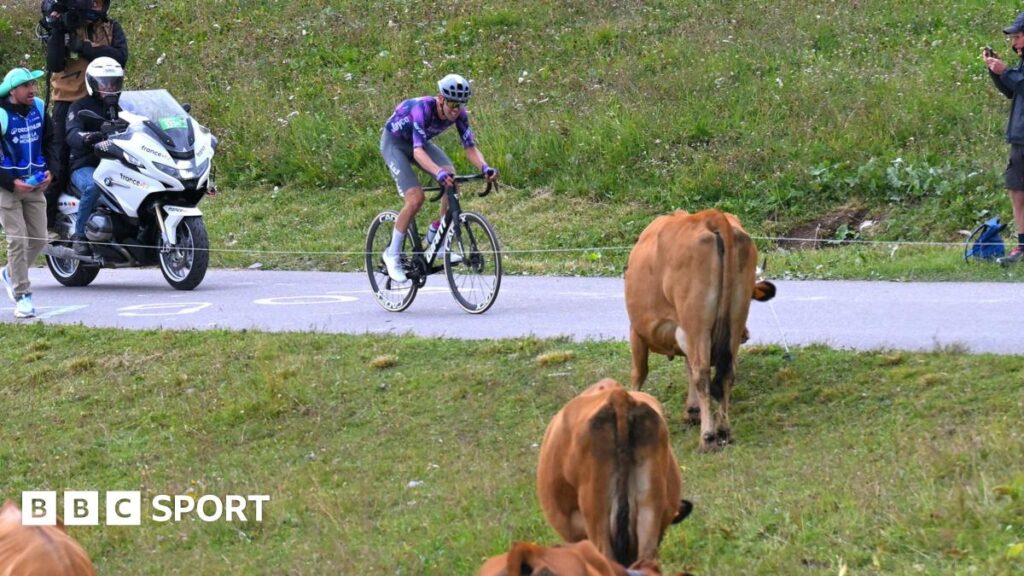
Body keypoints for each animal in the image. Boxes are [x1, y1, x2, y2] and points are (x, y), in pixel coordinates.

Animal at [624, 208, 776, 452]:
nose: (746, 335)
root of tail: (712, 216)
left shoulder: (637, 331)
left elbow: (639, 372)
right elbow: (687, 366)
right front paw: (692, 411)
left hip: (696, 323)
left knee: (702, 374)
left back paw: (707, 437)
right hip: (733, 320)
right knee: (727, 372)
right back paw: (723, 430)